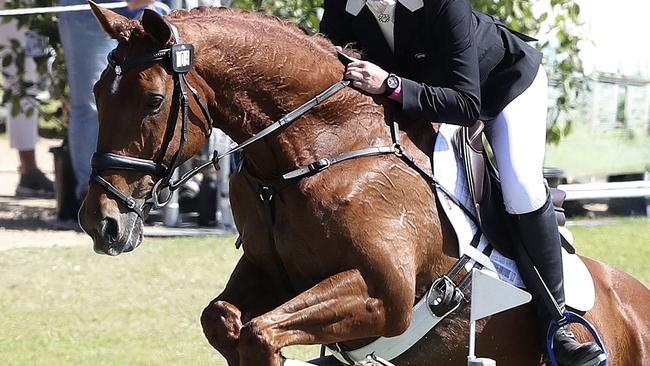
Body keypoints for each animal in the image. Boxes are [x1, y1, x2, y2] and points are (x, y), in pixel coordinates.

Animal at [81, 3, 648, 366]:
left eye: (153, 101)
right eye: (97, 92)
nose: (99, 222)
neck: (312, 151)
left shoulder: (383, 292)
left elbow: (261, 334)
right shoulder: (268, 273)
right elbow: (222, 319)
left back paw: (572, 342)